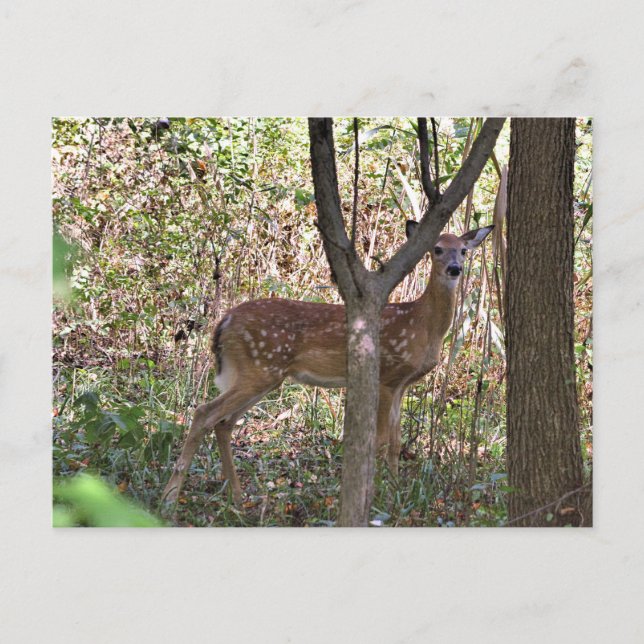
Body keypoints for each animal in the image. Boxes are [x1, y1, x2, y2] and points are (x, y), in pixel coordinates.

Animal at [161, 221, 494, 506]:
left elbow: (396, 444)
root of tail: (224, 322)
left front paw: (396, 494)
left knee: (223, 423)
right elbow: (379, 442)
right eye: (437, 249)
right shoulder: (386, 376)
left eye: (463, 250)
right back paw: (170, 497)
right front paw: (377, 496)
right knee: (204, 413)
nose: (454, 269)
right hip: (259, 368)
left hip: (263, 374)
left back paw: (238, 498)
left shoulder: (401, 384)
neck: (422, 325)